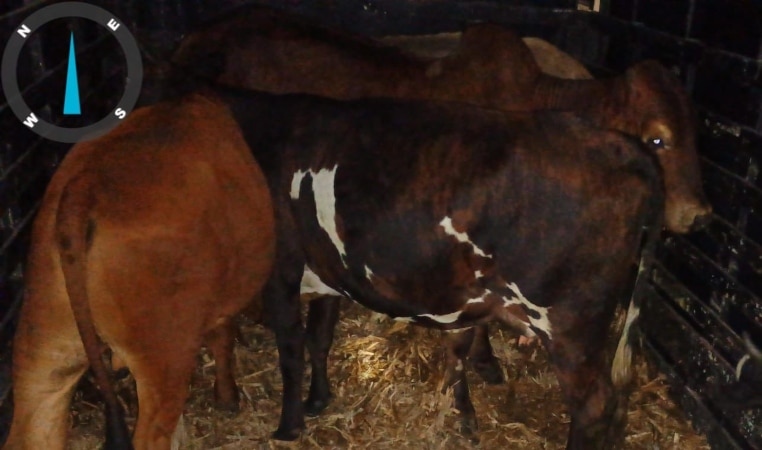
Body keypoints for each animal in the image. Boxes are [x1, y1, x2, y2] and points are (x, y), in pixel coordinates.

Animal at [2, 91, 276, 450]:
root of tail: (85, 187)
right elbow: (223, 337)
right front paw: (228, 397)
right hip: (164, 357)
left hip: (44, 343)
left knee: (33, 425)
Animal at [217, 87, 664, 446]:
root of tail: (621, 145)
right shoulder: (328, 269)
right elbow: (319, 338)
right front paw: (317, 401)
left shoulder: (281, 268)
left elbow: (291, 349)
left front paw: (288, 427)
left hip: (569, 323)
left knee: (596, 406)